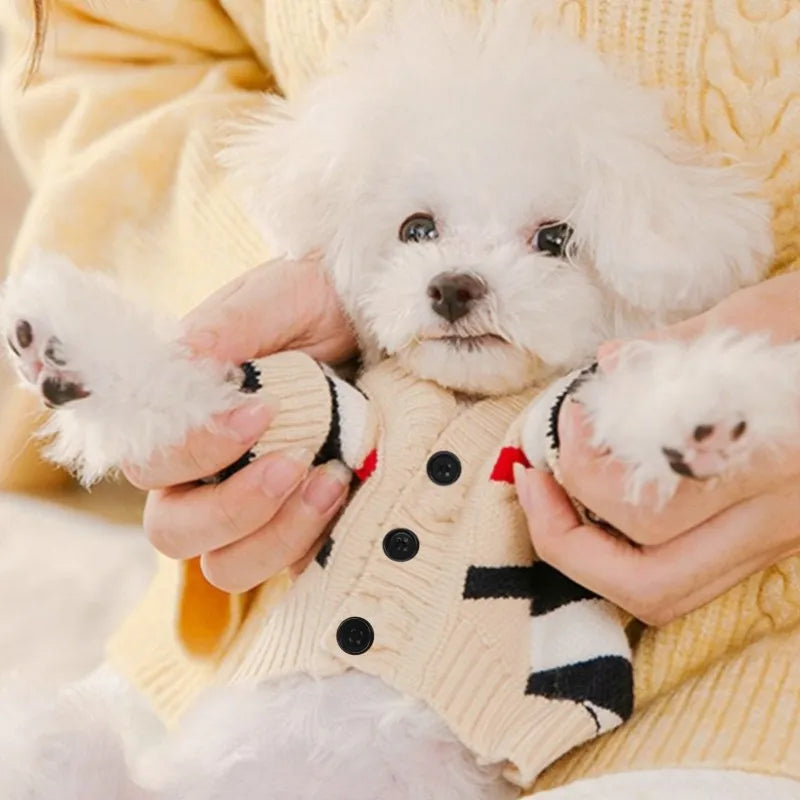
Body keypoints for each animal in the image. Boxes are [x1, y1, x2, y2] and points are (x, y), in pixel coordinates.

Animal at [0, 1, 792, 800]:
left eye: (556, 239)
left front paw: (702, 416)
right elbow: (206, 391)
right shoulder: (323, 416)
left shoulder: (548, 439)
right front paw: (63, 352)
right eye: (417, 229)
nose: (453, 286)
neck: (461, 400)